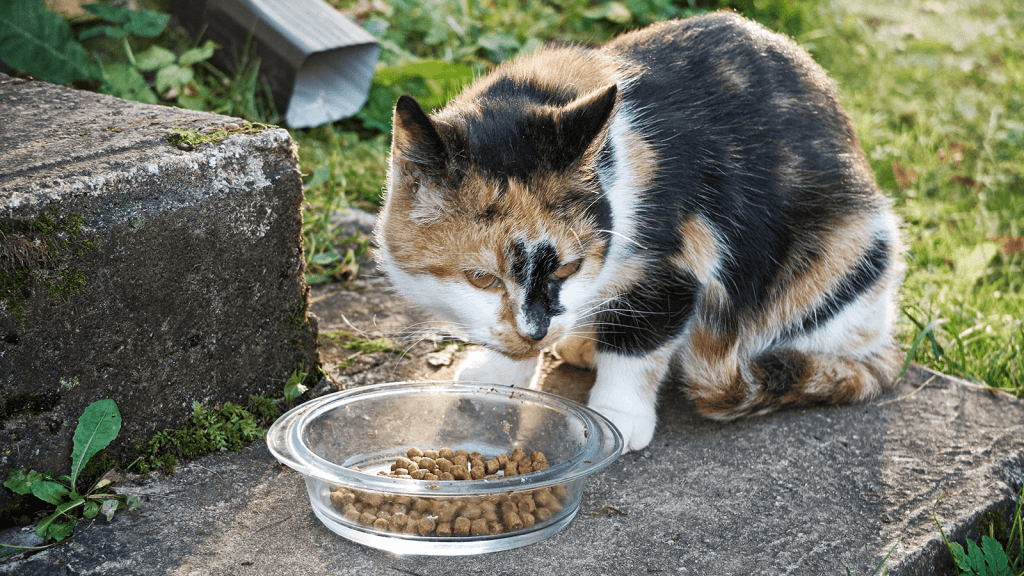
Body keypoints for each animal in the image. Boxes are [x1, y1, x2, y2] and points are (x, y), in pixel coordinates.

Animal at [374, 8, 905, 448]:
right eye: (481, 278)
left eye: (567, 269)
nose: (537, 330)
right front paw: (498, 373)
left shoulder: (681, 257)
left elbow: (640, 342)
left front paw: (617, 417)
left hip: (846, 258)